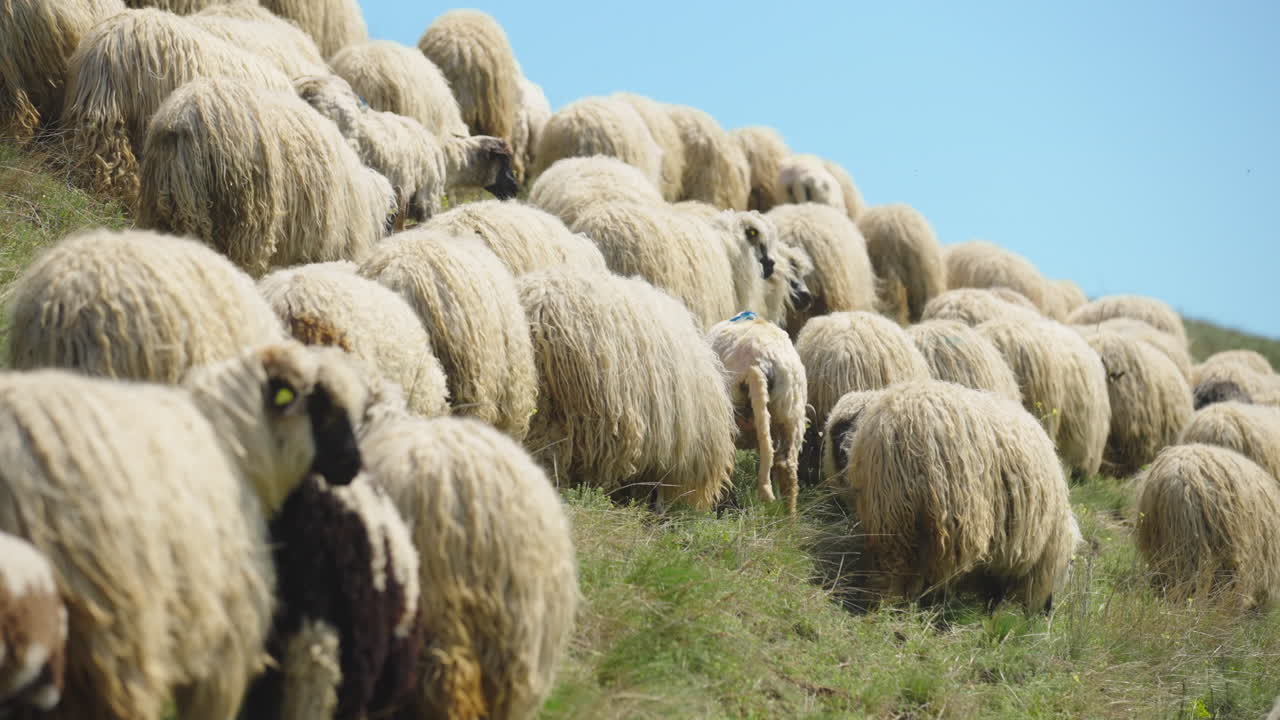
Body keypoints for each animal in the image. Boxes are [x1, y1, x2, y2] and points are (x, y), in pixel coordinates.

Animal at [708, 312, 807, 514]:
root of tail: (759, 362)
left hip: (730, 419)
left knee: (726, 463)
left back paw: (722, 508)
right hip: (791, 412)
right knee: (787, 467)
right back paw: (790, 518)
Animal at [825, 380, 1080, 610]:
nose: (1047, 609)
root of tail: (891, 424)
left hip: (890, 511)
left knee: (892, 559)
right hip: (945, 513)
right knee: (927, 565)